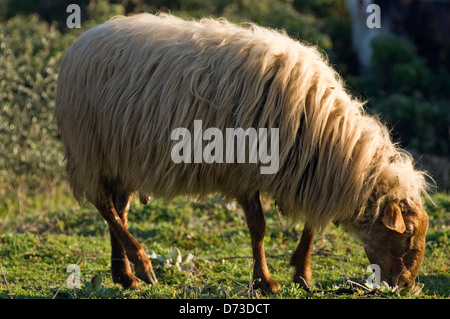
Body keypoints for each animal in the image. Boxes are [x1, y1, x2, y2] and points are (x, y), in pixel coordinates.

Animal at [54, 13, 430, 294]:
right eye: (408, 235)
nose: (407, 287)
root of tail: (80, 42)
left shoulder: (309, 173)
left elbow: (310, 226)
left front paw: (302, 273)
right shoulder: (246, 170)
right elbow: (259, 228)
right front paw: (266, 281)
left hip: (120, 157)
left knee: (118, 210)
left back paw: (126, 276)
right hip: (90, 150)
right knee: (103, 206)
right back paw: (143, 265)